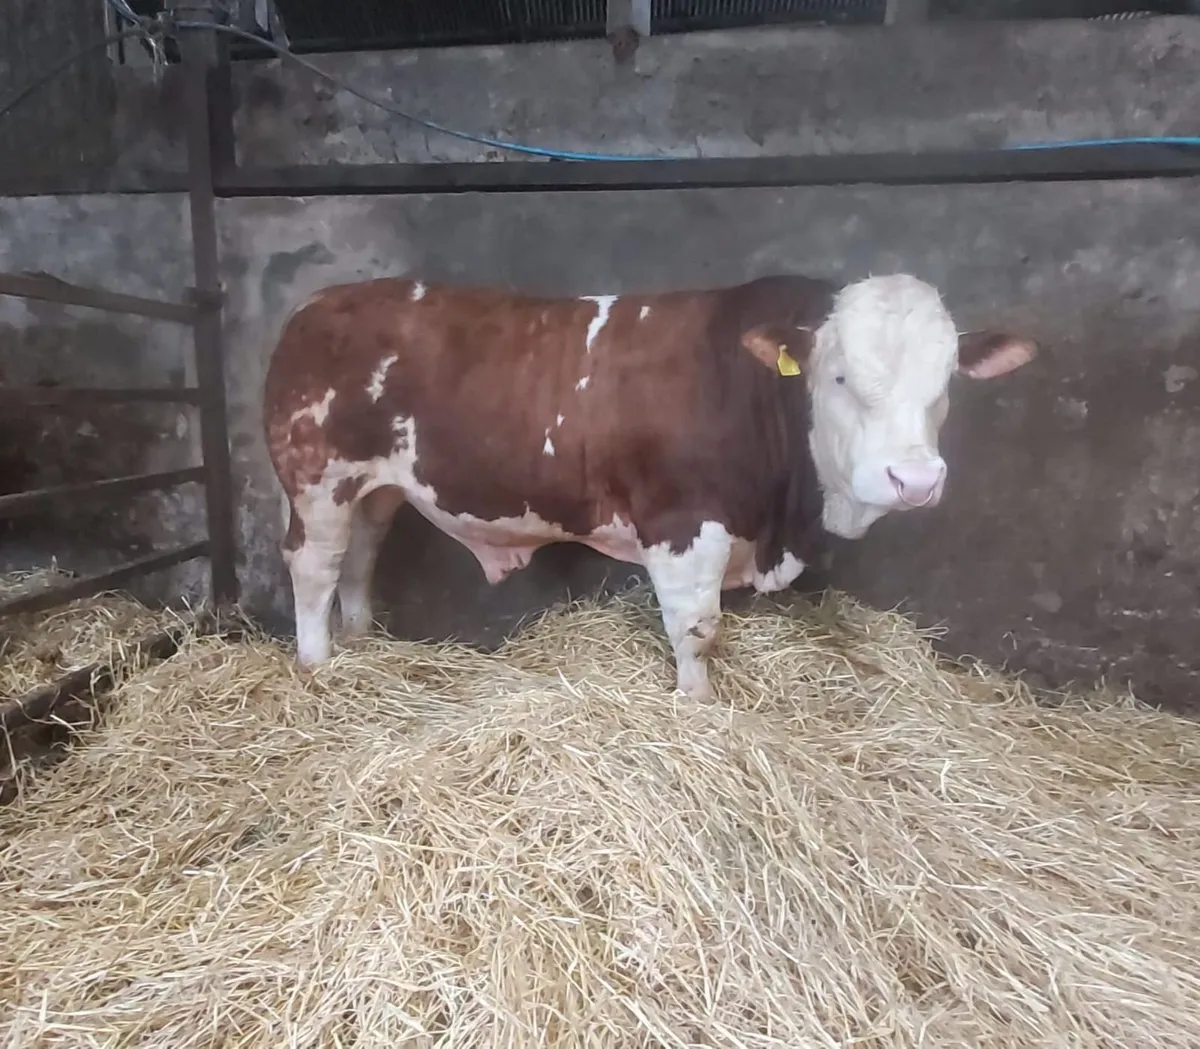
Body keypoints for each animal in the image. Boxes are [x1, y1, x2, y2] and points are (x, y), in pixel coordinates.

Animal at [263, 273, 1036, 700]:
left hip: (375, 488)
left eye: (946, 383)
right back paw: (318, 666)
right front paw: (696, 707)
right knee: (315, 566)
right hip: (317, 479)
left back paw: (361, 643)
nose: (915, 478)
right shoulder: (683, 525)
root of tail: (320, 302)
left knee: (359, 559)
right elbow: (696, 630)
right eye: (841, 376)